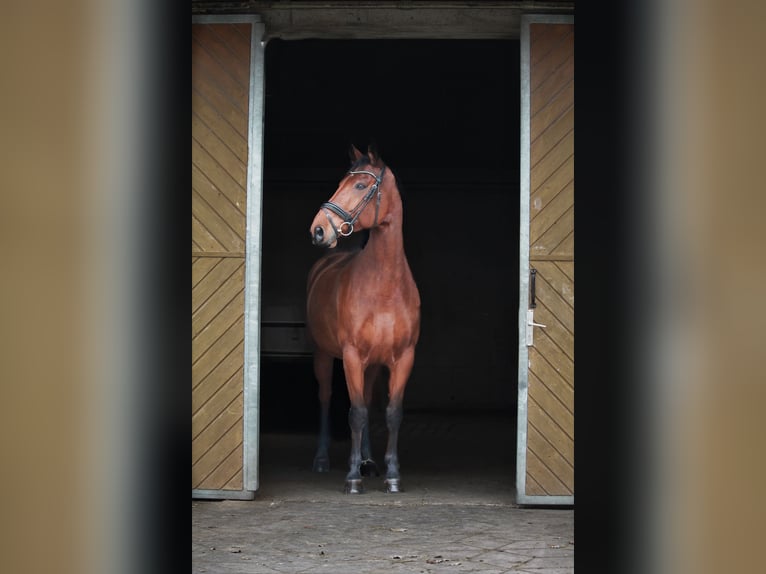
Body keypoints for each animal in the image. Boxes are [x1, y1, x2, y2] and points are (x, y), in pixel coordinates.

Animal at [304, 145, 420, 496]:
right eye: (340, 183)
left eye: (359, 185)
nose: (318, 230)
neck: (385, 286)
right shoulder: (352, 356)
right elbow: (355, 413)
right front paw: (352, 478)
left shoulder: (402, 358)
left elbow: (391, 413)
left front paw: (393, 475)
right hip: (324, 355)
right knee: (326, 399)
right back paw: (323, 459)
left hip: (372, 365)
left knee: (368, 402)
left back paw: (369, 462)